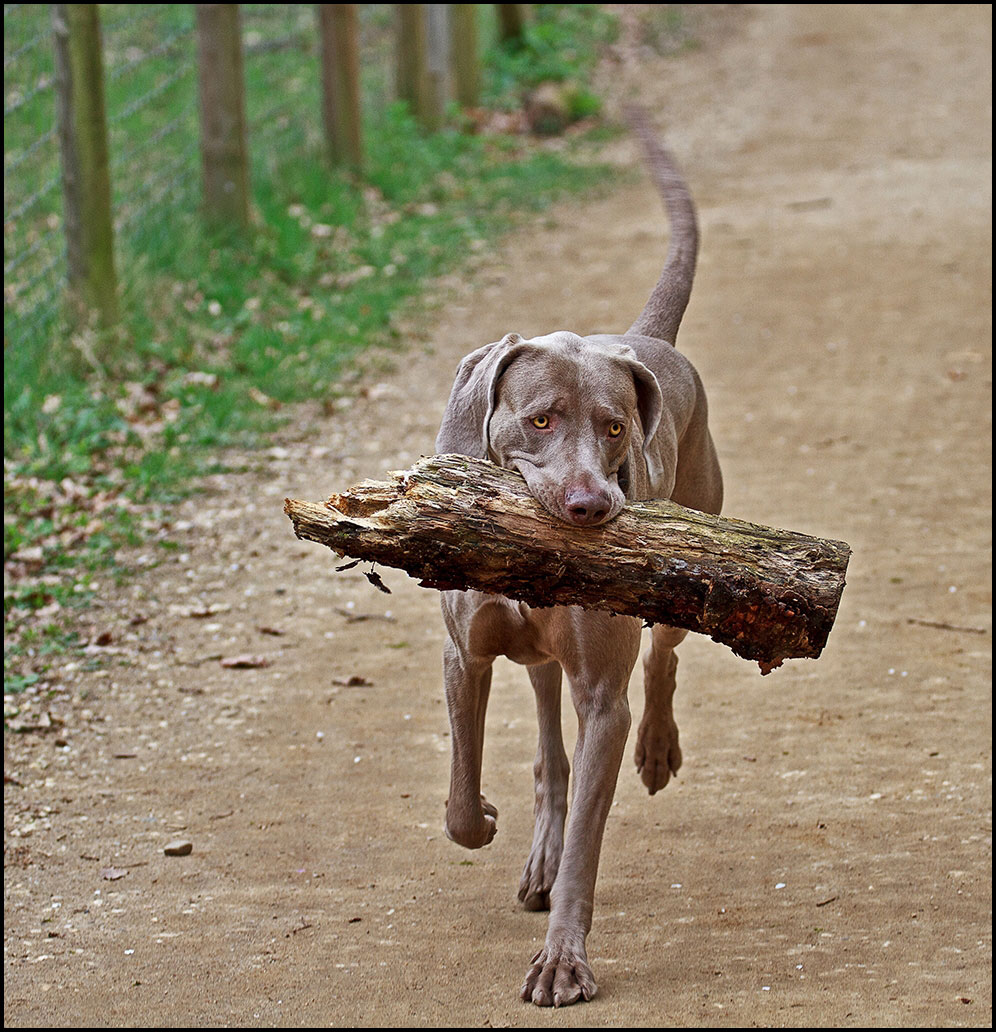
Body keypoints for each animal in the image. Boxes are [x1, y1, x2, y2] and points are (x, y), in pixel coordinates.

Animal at [431, 115, 718, 1007]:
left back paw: (657, 750)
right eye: (540, 419)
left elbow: (592, 831)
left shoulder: (602, 696)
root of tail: (648, 337)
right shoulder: (466, 653)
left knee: (664, 657)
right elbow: (462, 794)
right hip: (534, 655)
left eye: (616, 426)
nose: (593, 506)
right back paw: (537, 855)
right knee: (548, 753)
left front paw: (563, 960)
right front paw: (488, 822)